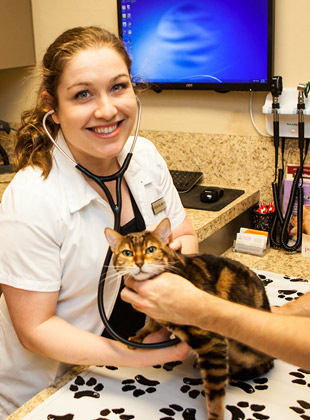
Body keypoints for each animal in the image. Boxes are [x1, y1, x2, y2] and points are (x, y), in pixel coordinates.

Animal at [104, 218, 274, 418]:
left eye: (150, 249)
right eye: (127, 253)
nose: (138, 263)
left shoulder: (213, 341)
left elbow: (215, 397)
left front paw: (215, 416)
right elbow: (151, 325)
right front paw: (138, 336)